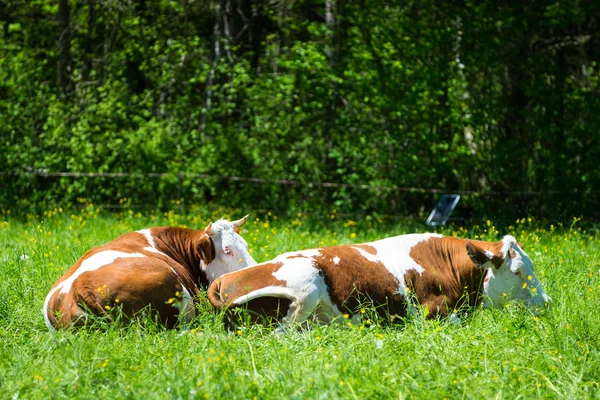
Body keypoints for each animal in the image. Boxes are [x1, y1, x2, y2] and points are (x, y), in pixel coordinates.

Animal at [209, 231, 552, 332]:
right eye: (518, 271)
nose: (546, 303)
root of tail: (224, 281)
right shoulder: (434, 313)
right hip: (305, 288)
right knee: (285, 336)